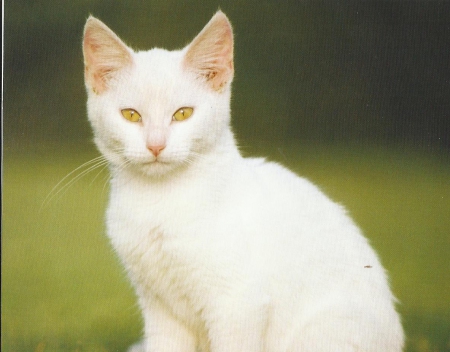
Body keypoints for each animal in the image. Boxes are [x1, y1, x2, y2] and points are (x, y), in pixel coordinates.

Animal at [83, 11, 404, 352]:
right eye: (131, 115)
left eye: (183, 114)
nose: (156, 145)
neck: (159, 203)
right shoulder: (159, 309)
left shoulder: (239, 304)